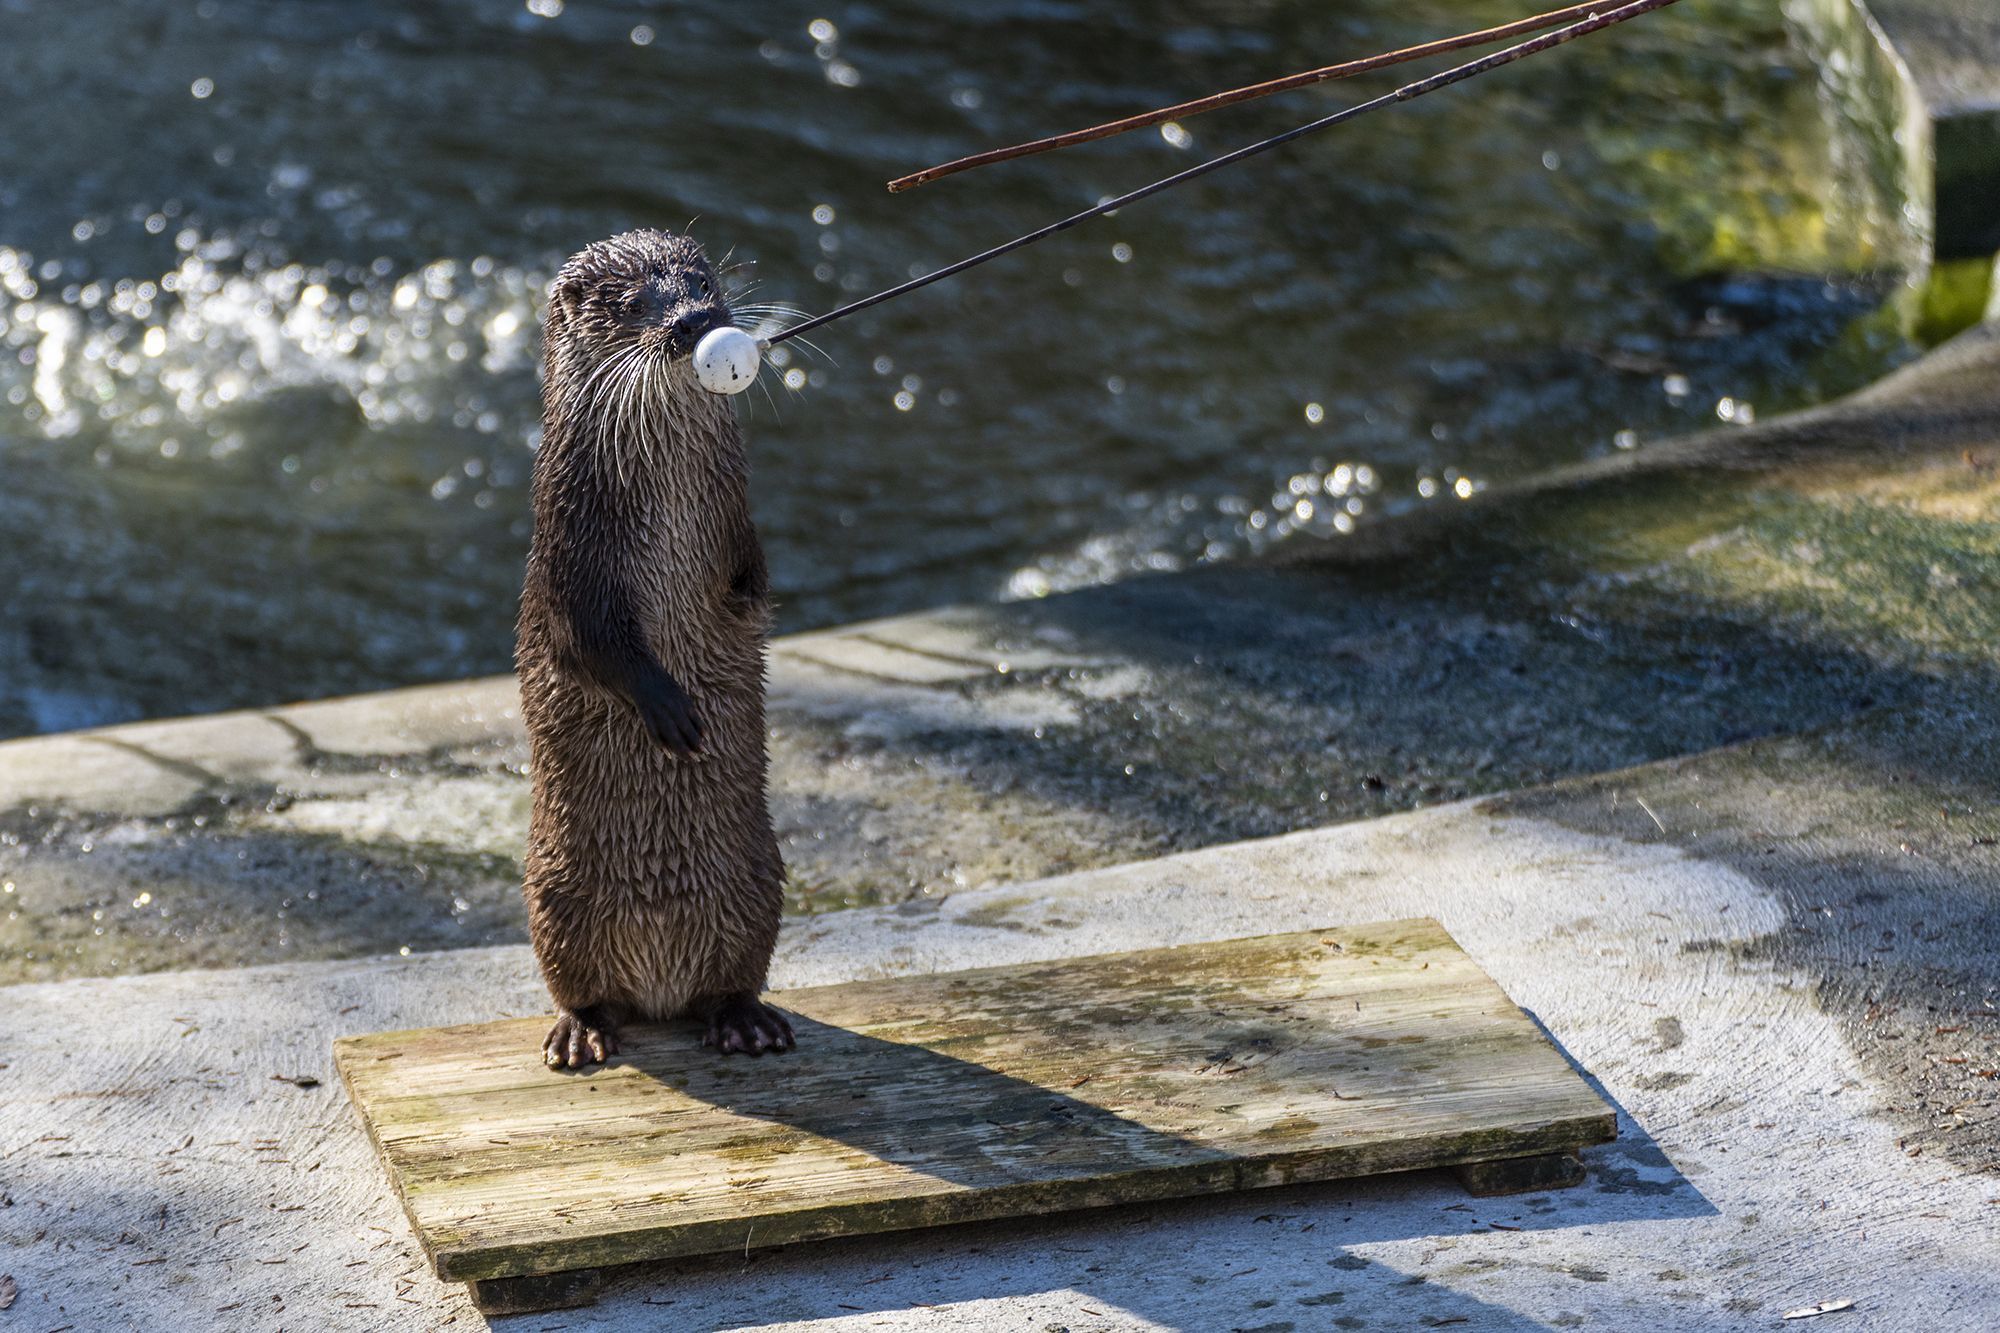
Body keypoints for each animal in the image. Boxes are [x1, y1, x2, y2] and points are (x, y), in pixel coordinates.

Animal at [516, 223, 796, 1064]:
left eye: (701, 282)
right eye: (636, 303)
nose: (695, 320)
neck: (665, 502)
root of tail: (659, 985)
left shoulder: (735, 515)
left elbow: (751, 588)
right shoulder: (569, 550)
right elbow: (588, 641)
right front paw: (669, 707)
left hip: (759, 884)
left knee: (733, 977)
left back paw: (745, 1019)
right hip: (554, 894)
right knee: (579, 984)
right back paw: (580, 1031)